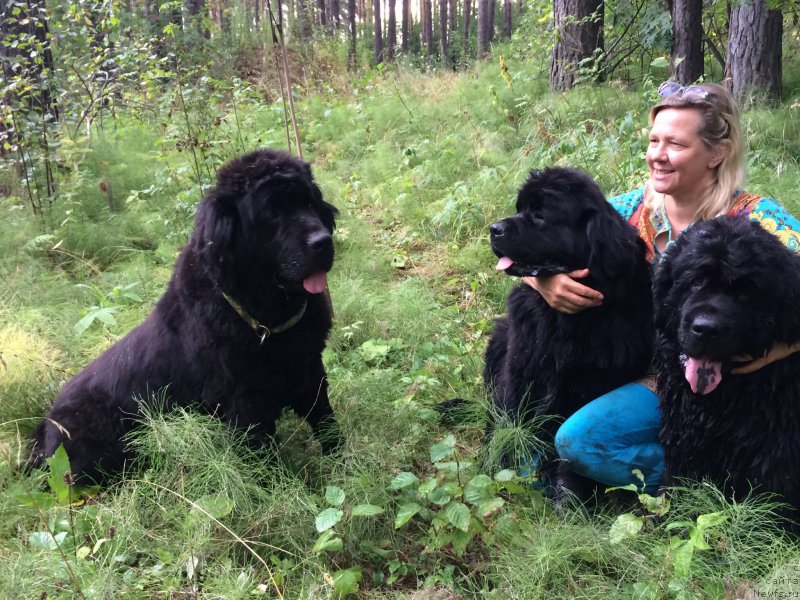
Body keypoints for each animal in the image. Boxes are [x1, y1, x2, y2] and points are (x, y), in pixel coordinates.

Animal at [484, 166, 652, 494]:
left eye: (539, 216)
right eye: (519, 209)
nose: (493, 229)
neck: (562, 318)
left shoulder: (587, 384)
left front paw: (569, 493)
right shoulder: (521, 364)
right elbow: (510, 415)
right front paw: (499, 464)